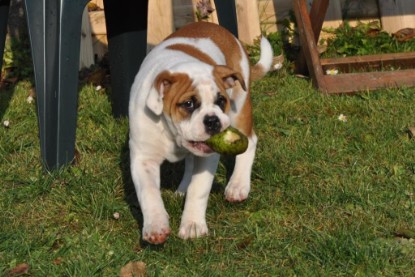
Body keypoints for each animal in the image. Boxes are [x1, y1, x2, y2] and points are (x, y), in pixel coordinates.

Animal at [130, 22, 272, 245]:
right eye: (188, 103)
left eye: (221, 101)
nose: (213, 120)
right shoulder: (143, 159)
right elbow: (149, 194)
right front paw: (155, 226)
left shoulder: (208, 157)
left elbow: (199, 190)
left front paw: (193, 225)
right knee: (190, 162)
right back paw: (183, 188)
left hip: (240, 108)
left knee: (250, 142)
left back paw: (238, 185)